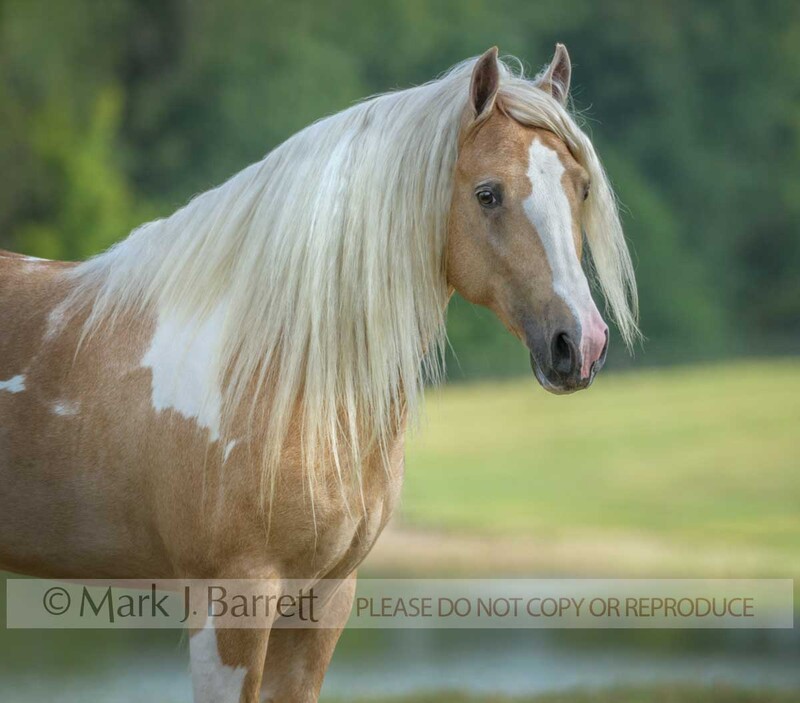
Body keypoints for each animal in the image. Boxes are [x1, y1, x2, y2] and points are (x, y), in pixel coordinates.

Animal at [0, 44, 637, 702]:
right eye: (488, 193)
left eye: (582, 188)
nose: (579, 343)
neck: (278, 371)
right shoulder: (230, 599)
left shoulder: (324, 597)